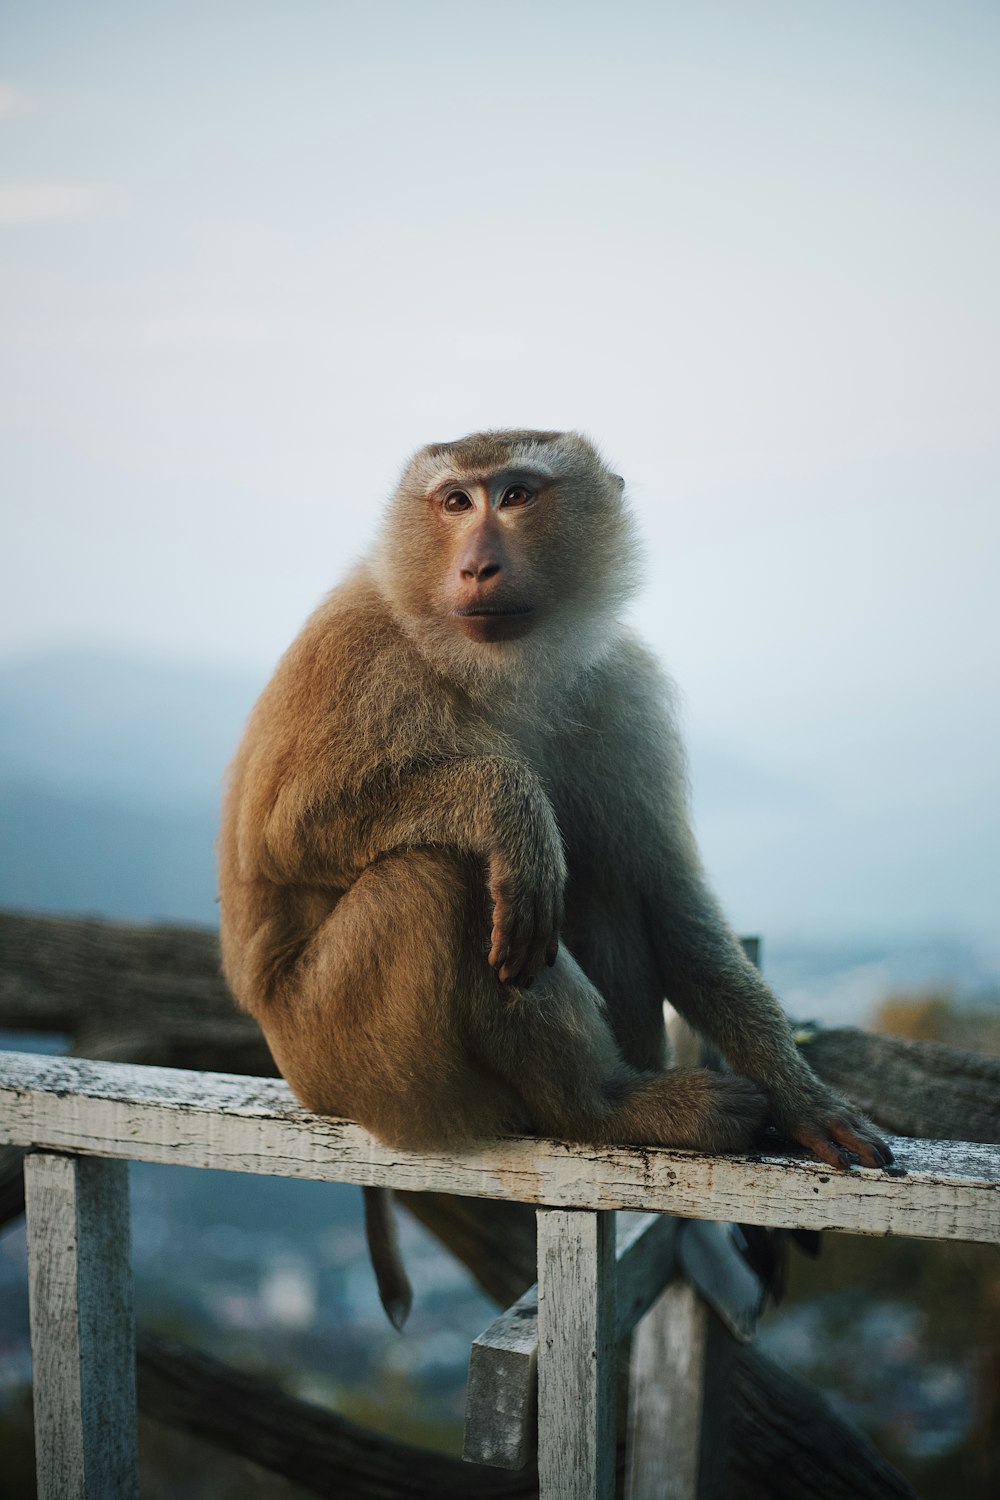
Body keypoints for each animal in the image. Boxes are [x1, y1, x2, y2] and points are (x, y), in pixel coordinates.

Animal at [217, 426, 893, 1314]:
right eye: (455, 501)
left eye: (515, 496)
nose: (476, 566)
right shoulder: (358, 653)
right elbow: (286, 836)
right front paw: (508, 807)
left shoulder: (619, 687)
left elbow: (665, 895)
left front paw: (802, 1096)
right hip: (345, 1055)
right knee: (449, 876)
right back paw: (593, 1112)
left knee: (595, 886)